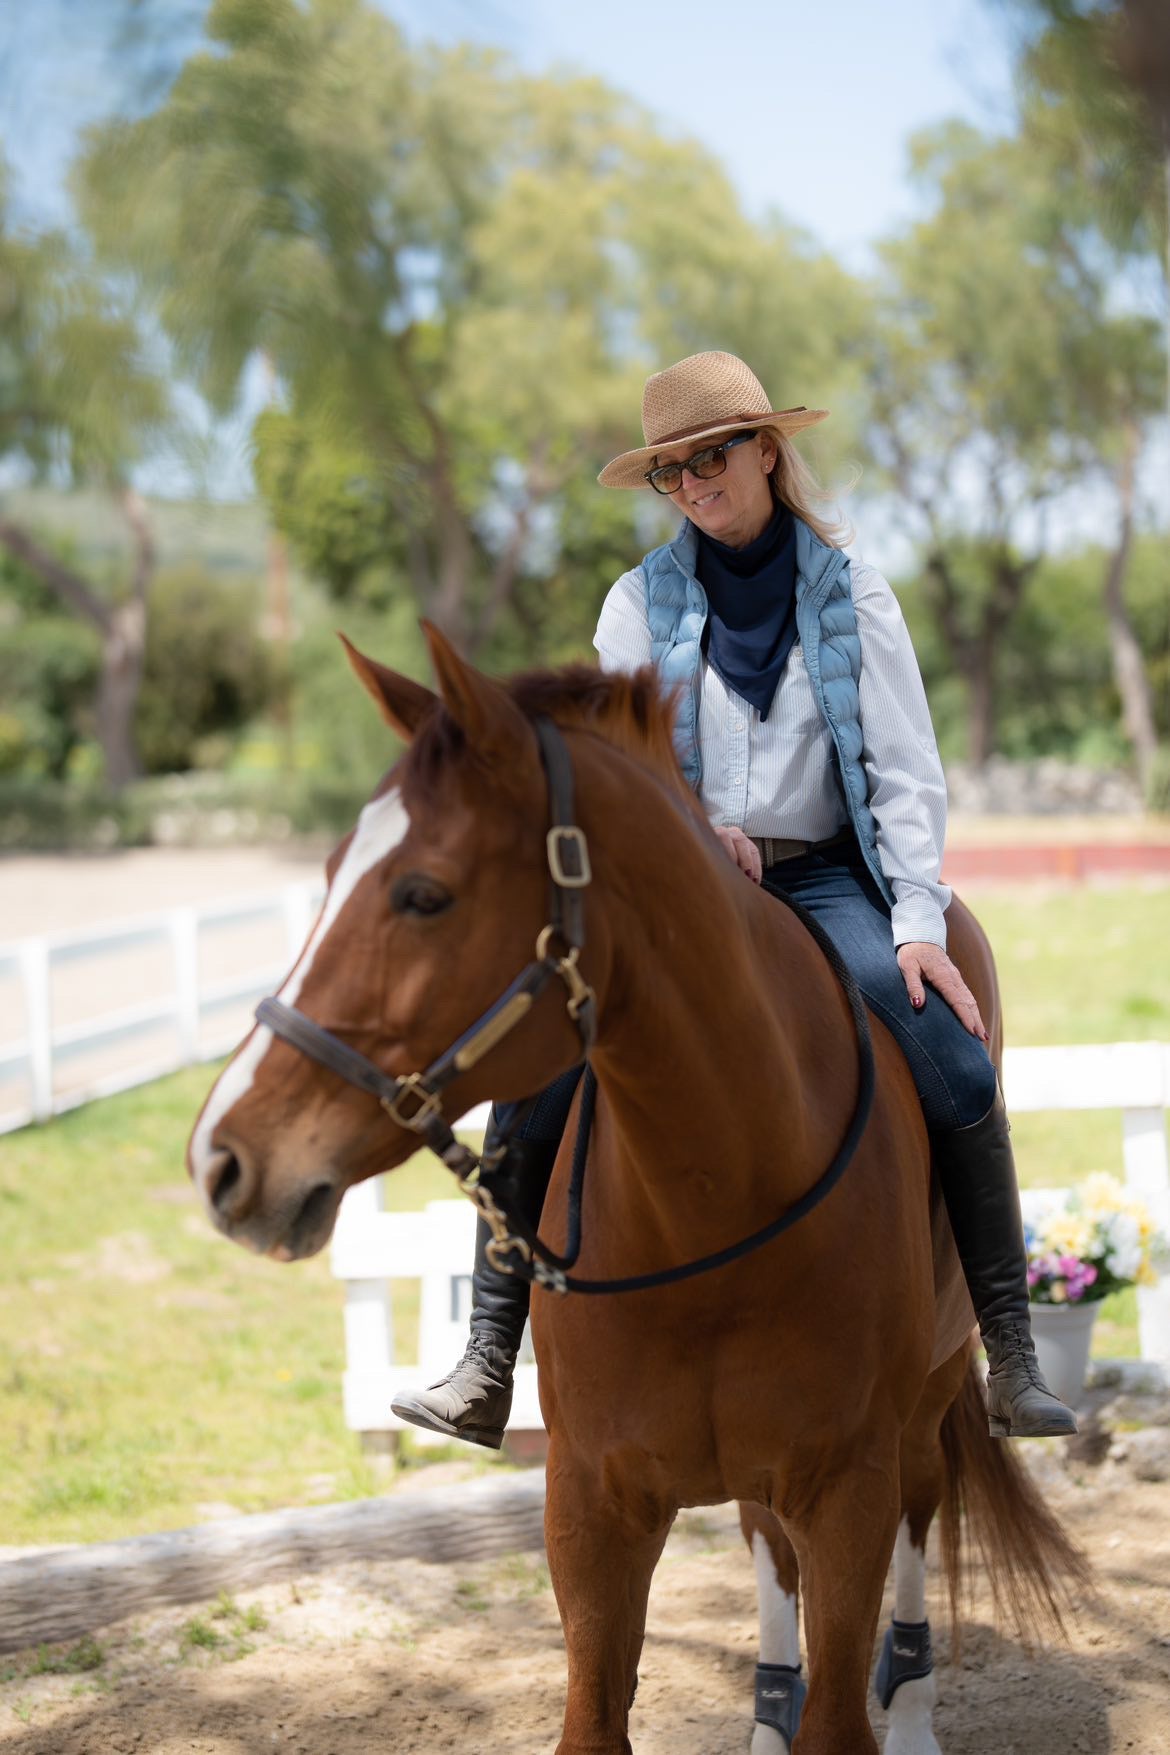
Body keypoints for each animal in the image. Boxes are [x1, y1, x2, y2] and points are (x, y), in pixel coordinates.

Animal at [187, 624, 1087, 1747]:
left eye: (424, 893)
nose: (224, 1157)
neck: (713, 1195)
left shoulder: (849, 1493)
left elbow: (843, 1703)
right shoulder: (590, 1504)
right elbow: (596, 1710)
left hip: (924, 1404)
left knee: (925, 1508)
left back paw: (915, 1712)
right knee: (765, 1544)